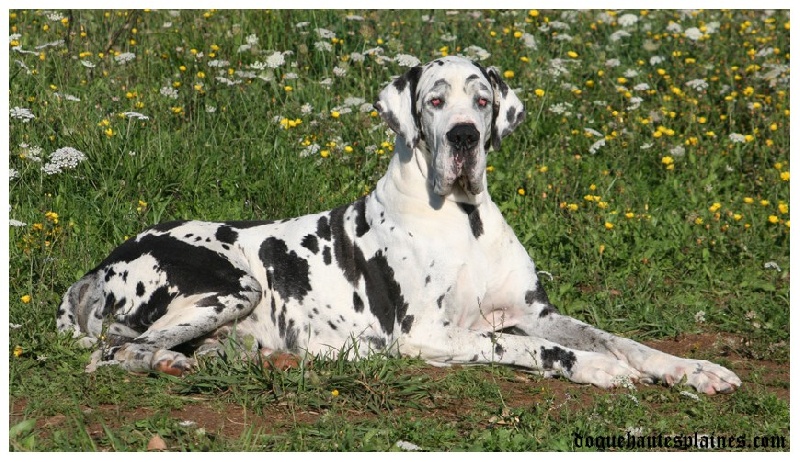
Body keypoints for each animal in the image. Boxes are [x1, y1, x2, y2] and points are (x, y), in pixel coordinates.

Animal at [57, 54, 744, 394]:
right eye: (434, 100)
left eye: (482, 100)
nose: (465, 136)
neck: (464, 221)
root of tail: (95, 269)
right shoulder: (430, 335)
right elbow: (527, 347)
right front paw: (600, 370)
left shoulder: (537, 311)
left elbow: (621, 339)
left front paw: (691, 369)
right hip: (234, 284)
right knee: (115, 354)